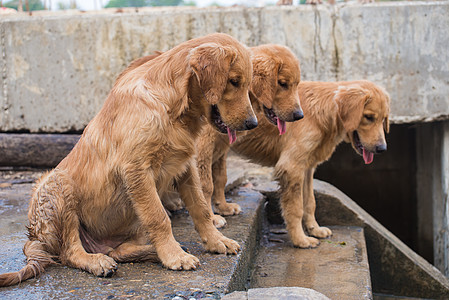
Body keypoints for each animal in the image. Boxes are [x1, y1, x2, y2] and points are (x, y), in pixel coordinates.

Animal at [0, 31, 256, 288]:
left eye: (245, 84)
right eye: (234, 81)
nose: (252, 124)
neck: (171, 108)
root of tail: (34, 237)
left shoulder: (185, 165)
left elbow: (200, 207)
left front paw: (216, 241)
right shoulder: (137, 170)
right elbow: (159, 217)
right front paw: (174, 256)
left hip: (132, 215)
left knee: (119, 251)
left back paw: (150, 252)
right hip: (57, 186)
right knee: (69, 252)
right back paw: (97, 261)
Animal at [212, 81, 386, 247]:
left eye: (384, 119)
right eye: (369, 117)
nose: (382, 148)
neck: (321, 110)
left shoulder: (307, 167)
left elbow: (309, 202)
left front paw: (314, 229)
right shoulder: (291, 167)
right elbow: (296, 208)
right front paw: (300, 240)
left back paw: (224, 208)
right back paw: (214, 220)